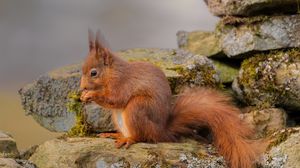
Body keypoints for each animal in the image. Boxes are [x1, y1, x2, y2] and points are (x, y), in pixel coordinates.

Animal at [79, 29, 264, 168]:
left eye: (93, 73)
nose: (81, 87)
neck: (112, 73)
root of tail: (161, 131)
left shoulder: (123, 85)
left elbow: (116, 99)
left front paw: (91, 95)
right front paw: (84, 96)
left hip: (137, 108)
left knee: (141, 137)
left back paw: (128, 139)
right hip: (118, 117)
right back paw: (114, 135)